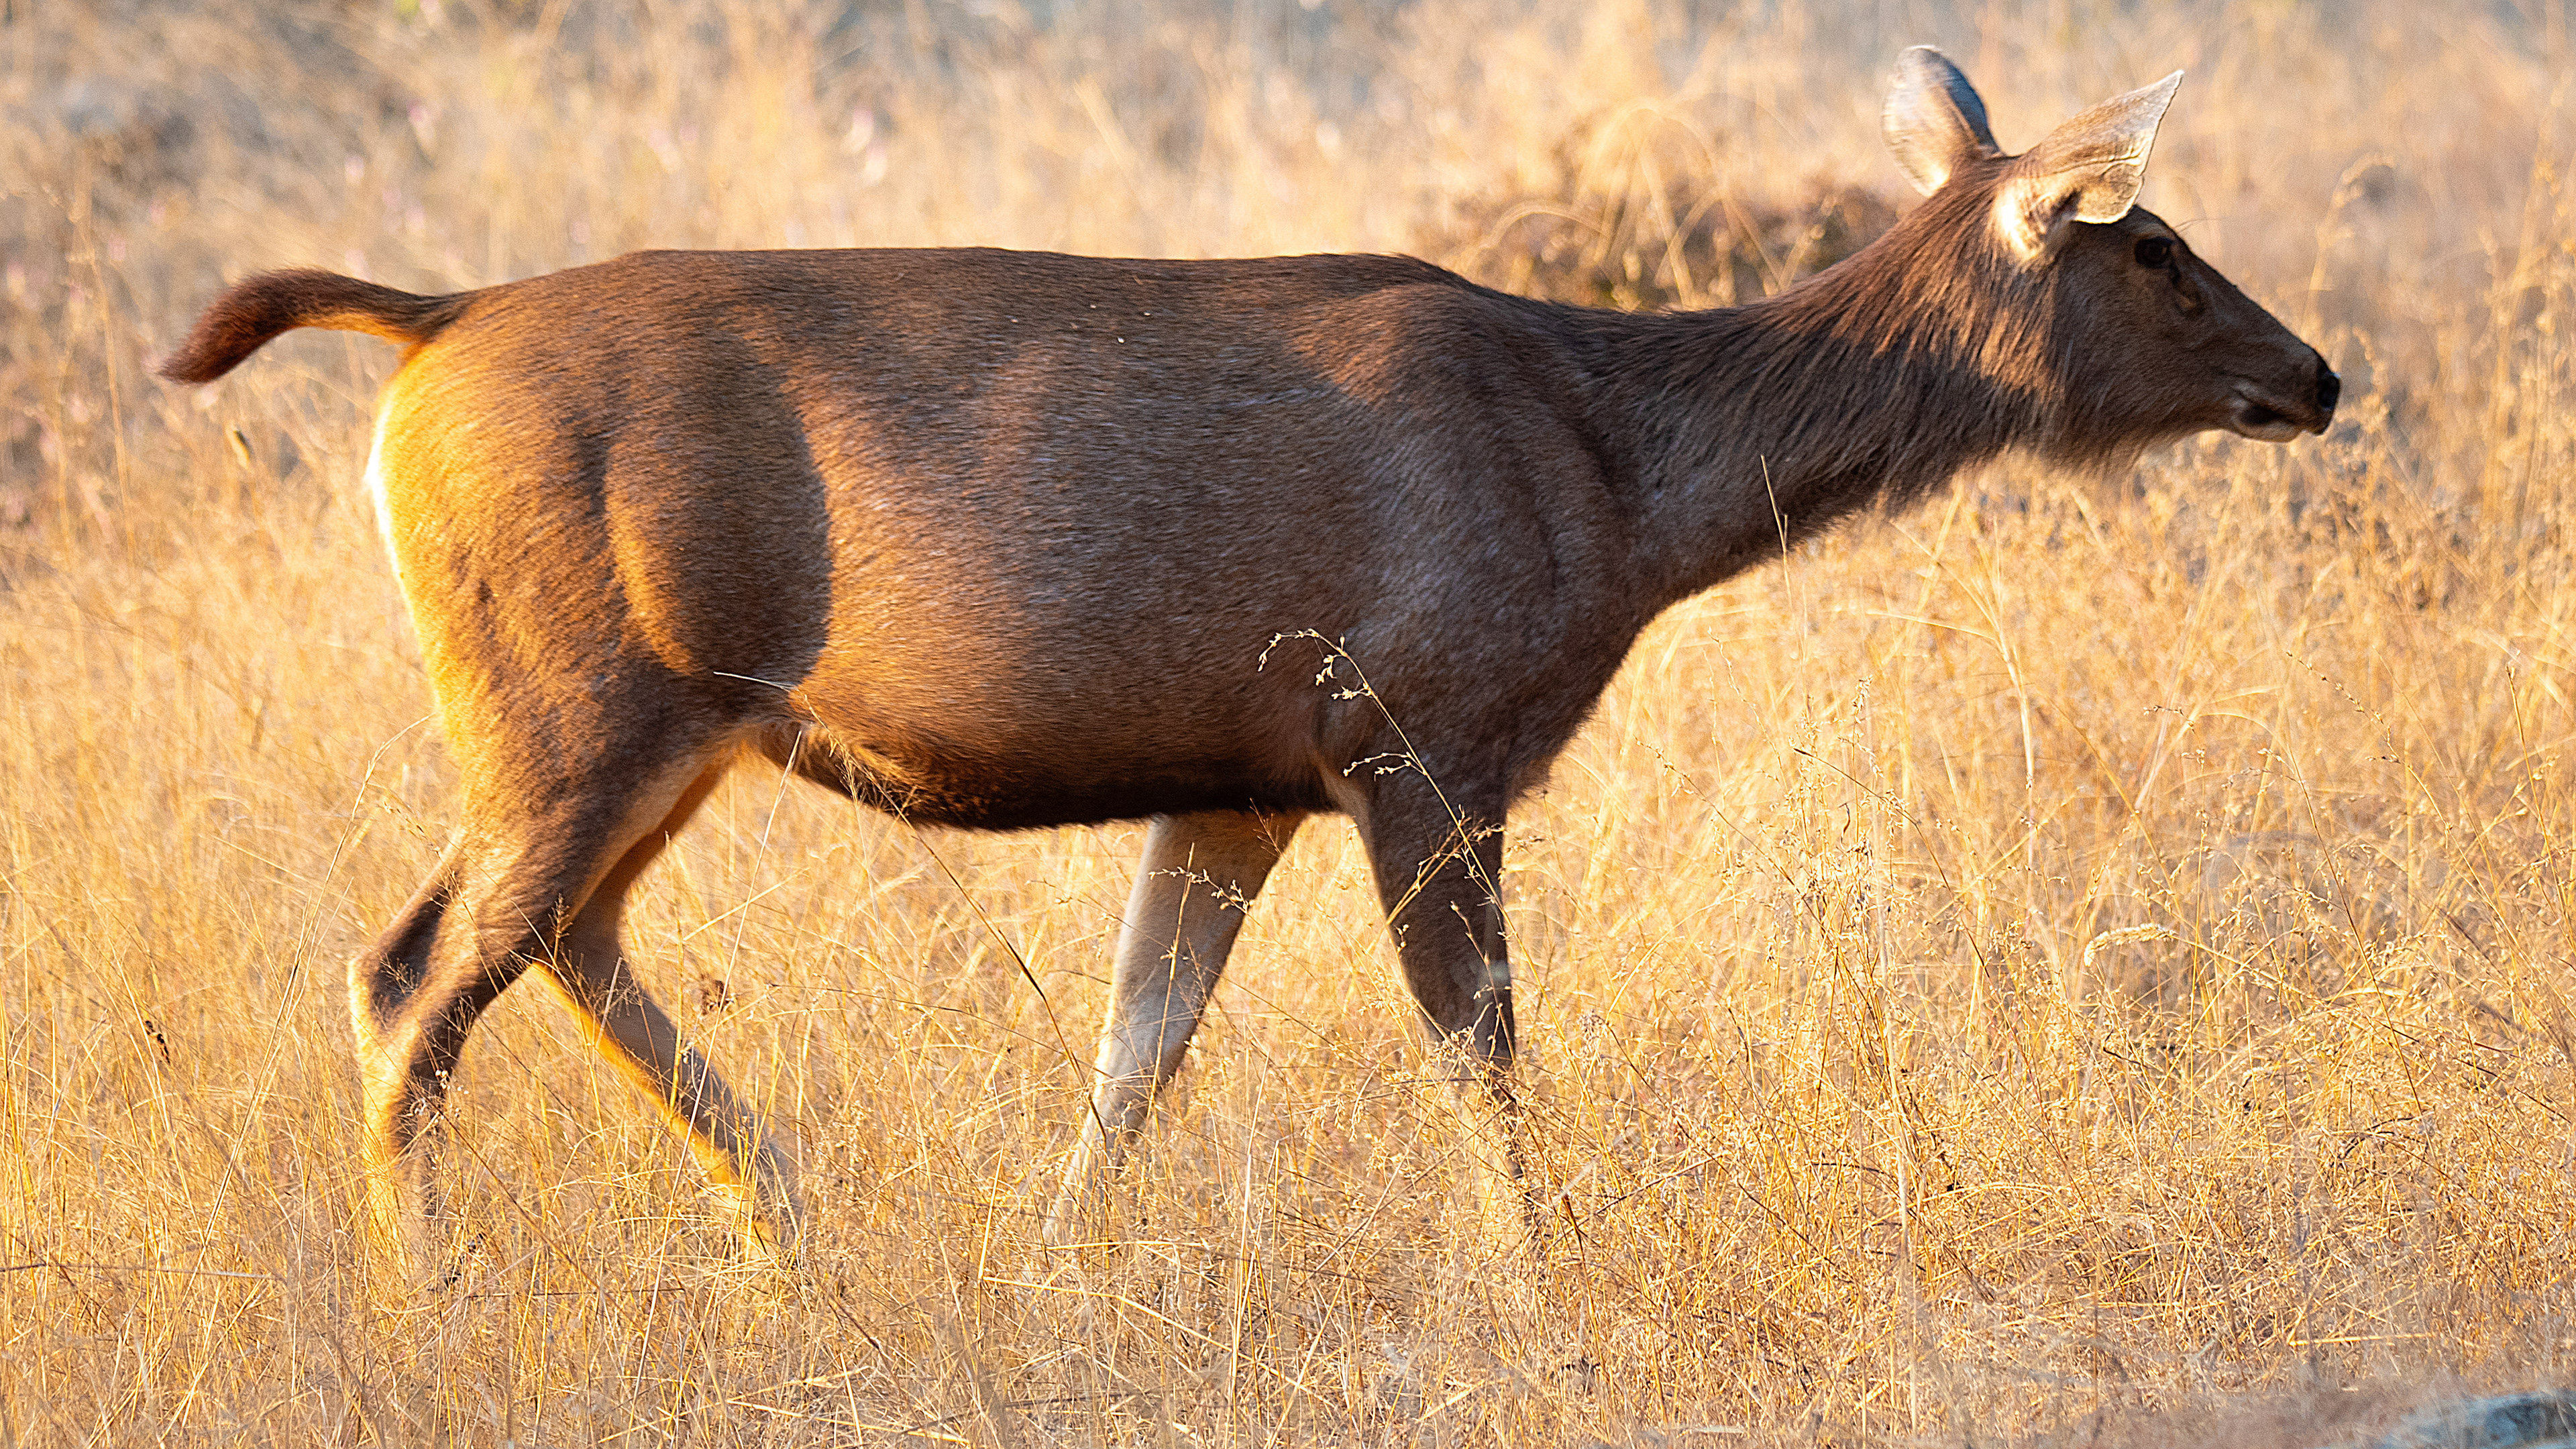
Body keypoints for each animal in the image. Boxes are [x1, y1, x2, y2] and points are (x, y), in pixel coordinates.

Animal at [158, 48, 2336, 1281]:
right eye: (2149, 245)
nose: (2310, 375)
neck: (1625, 498)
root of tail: (424, 330)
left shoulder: (1230, 777)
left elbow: (1135, 1055)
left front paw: (1050, 1274)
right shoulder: (1414, 729)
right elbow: (1478, 1053)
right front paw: (1546, 1283)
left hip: (650, 723)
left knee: (555, 943)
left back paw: (790, 1225)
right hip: (572, 696)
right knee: (414, 972)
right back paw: (429, 1305)